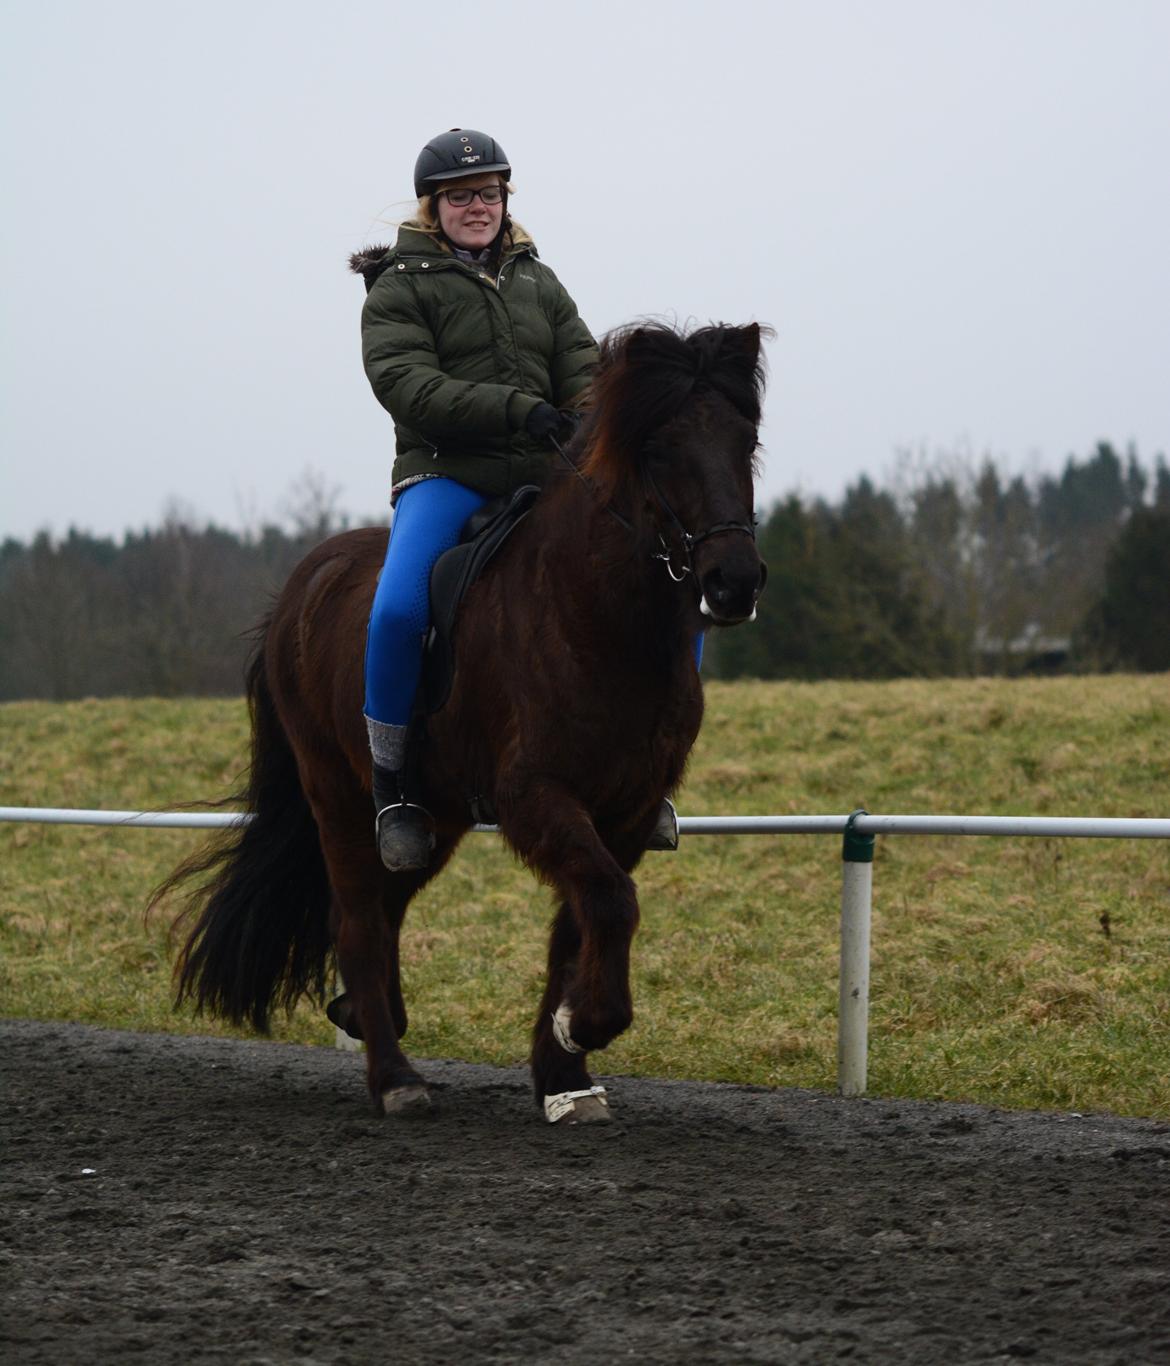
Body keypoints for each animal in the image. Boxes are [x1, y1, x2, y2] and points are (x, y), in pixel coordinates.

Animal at [161, 319, 764, 1120]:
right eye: (660, 448)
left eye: (744, 440)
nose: (734, 583)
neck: (599, 619)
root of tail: (302, 585)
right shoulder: (534, 796)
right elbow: (609, 903)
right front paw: (585, 1025)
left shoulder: (628, 810)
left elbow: (580, 923)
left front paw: (564, 1075)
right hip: (338, 794)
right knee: (359, 922)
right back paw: (395, 1077)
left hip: (434, 816)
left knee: (387, 908)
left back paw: (366, 1015)